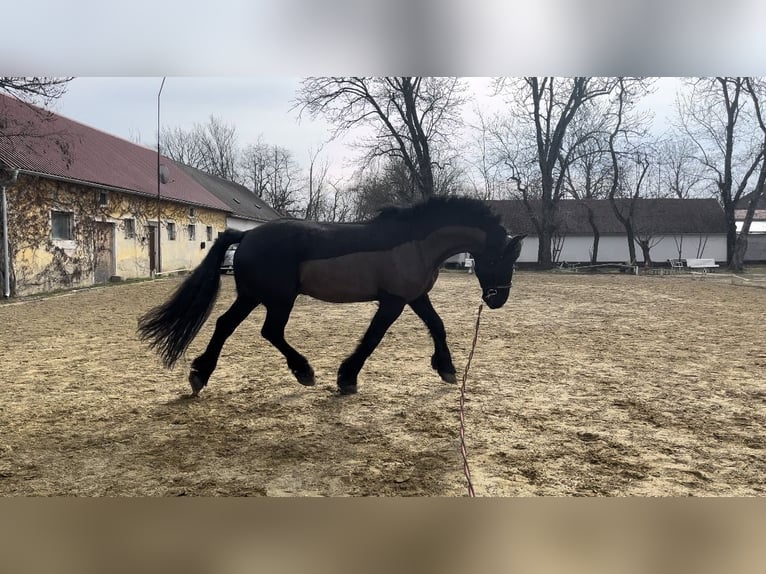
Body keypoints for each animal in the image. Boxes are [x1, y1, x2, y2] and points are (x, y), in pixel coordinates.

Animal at [137, 196, 525, 396]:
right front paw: (347, 378)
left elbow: (438, 326)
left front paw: (446, 369)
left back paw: (200, 375)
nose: (497, 300)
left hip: (252, 296)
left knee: (224, 325)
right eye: (502, 260)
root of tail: (246, 236)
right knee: (270, 331)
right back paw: (304, 371)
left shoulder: (414, 297)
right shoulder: (393, 301)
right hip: (279, 298)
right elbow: (372, 338)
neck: (416, 242)